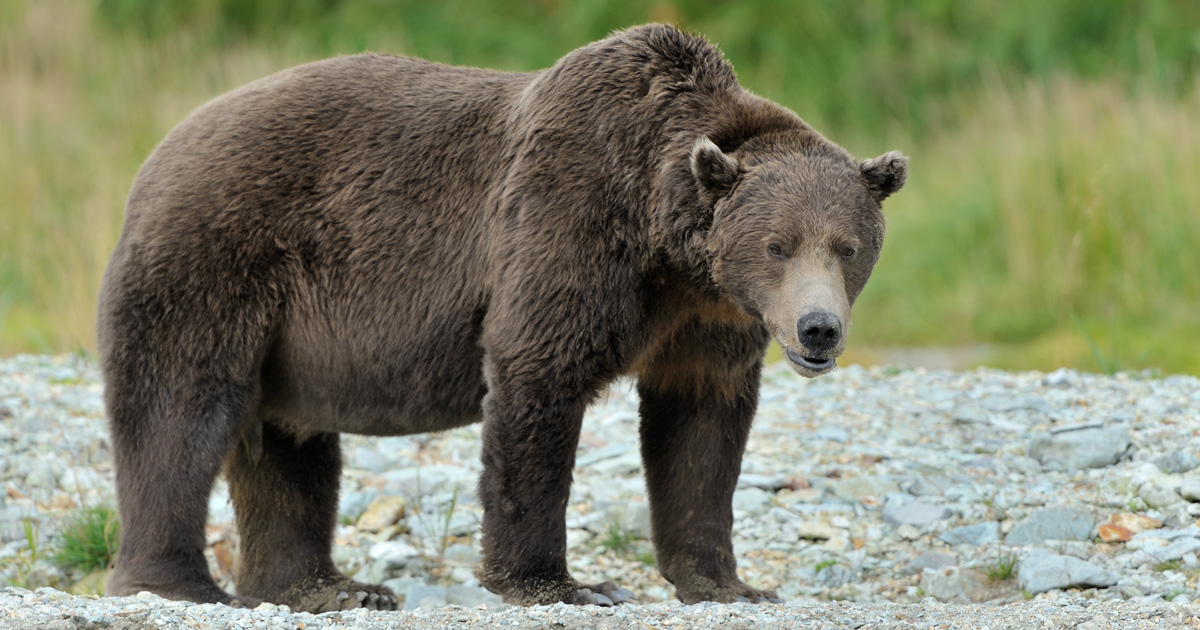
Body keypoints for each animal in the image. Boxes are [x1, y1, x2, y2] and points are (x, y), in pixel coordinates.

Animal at [98, 24, 907, 612]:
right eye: (777, 245)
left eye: (848, 246)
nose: (816, 329)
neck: (667, 246)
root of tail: (156, 155)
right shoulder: (567, 225)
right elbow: (536, 380)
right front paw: (565, 583)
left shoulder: (704, 319)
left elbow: (700, 429)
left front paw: (728, 583)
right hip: (220, 258)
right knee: (181, 408)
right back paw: (181, 584)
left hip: (288, 338)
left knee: (289, 445)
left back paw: (331, 588)